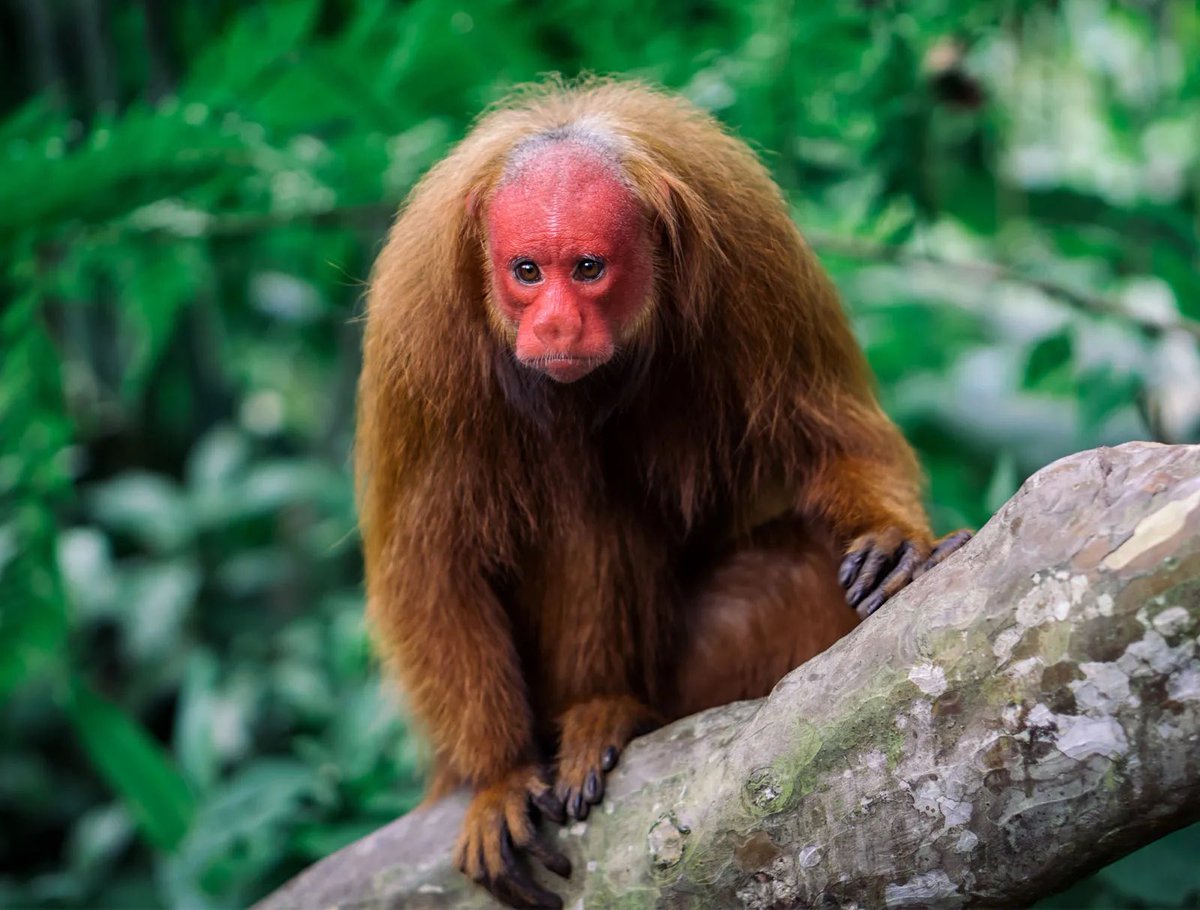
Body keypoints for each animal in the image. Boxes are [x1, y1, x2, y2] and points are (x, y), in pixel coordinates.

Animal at [355, 78, 971, 909]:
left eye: (587, 268)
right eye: (526, 272)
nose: (555, 323)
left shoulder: (751, 250)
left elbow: (835, 435)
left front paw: (894, 538)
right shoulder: (418, 322)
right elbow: (427, 560)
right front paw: (500, 776)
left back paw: (610, 712)